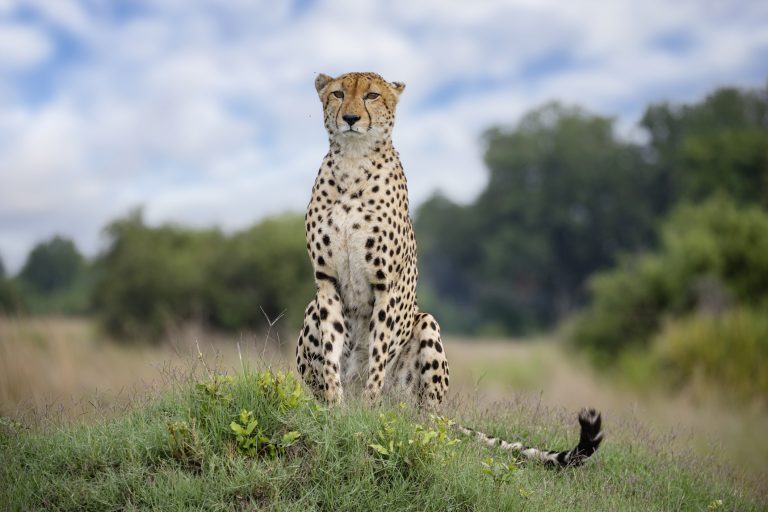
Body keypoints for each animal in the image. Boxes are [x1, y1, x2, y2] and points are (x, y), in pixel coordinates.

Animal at [296, 72, 604, 468]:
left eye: (372, 95)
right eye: (337, 94)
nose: (350, 118)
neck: (353, 162)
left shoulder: (388, 285)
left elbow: (377, 359)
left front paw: (364, 414)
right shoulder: (326, 282)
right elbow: (332, 351)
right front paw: (336, 413)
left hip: (426, 330)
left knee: (424, 423)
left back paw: (405, 422)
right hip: (311, 311)